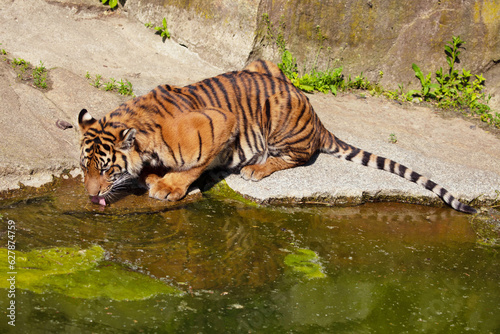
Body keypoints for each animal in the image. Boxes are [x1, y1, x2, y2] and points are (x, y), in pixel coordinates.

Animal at [77, 59, 476, 214]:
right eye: (84, 168)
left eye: (107, 169)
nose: (91, 195)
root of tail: (316, 115)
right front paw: (151, 175)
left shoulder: (220, 124)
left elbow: (193, 166)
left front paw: (168, 186)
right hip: (263, 65)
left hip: (280, 117)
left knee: (299, 156)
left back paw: (256, 168)